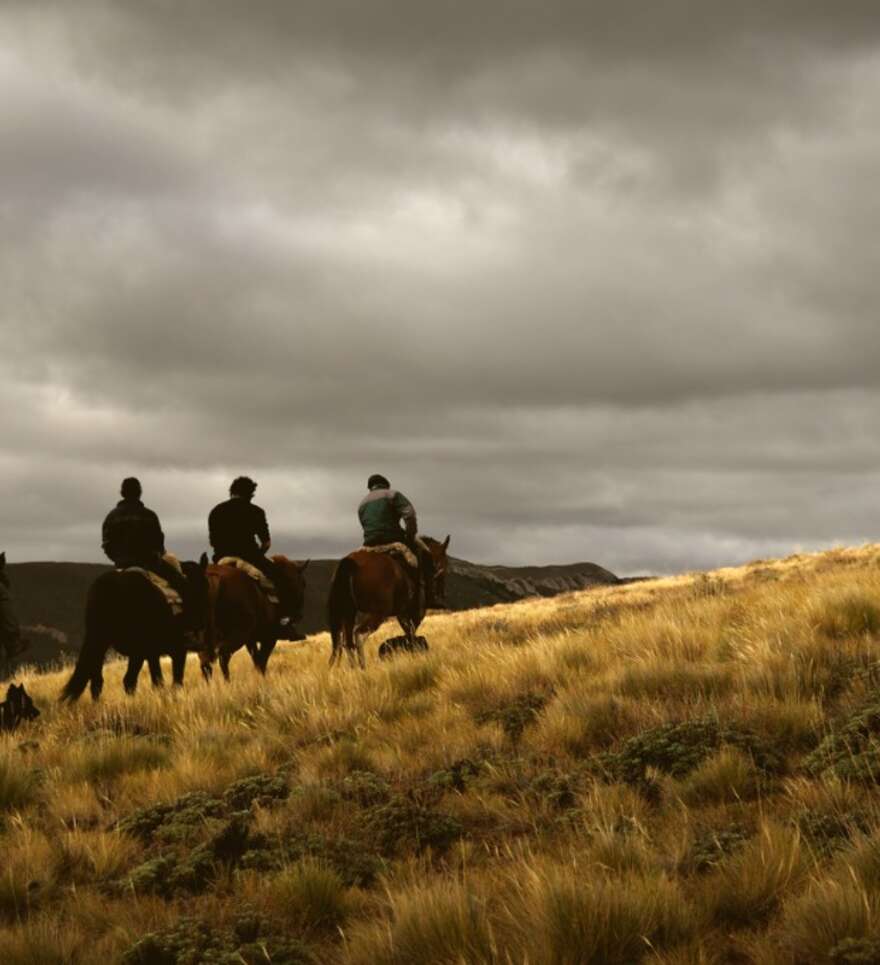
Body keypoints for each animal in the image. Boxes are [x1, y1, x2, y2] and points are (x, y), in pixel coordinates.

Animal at [59, 552, 211, 704]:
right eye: (205, 585)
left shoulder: (153, 653)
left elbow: (158, 680)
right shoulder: (177, 650)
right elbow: (175, 681)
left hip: (100, 642)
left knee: (98, 681)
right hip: (134, 649)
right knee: (127, 681)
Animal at [199, 552, 310, 680]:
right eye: (303, 583)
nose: (299, 615)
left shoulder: (251, 640)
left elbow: (256, 658)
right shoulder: (269, 638)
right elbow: (262, 660)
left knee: (206, 663)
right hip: (237, 636)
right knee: (222, 656)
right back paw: (227, 682)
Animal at [324, 532, 450, 668]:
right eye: (444, 563)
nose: (441, 595)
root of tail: (349, 563)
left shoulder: (402, 614)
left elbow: (408, 633)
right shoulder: (415, 613)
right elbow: (411, 633)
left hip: (349, 613)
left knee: (347, 643)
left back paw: (354, 669)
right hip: (377, 613)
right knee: (359, 634)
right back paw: (363, 667)